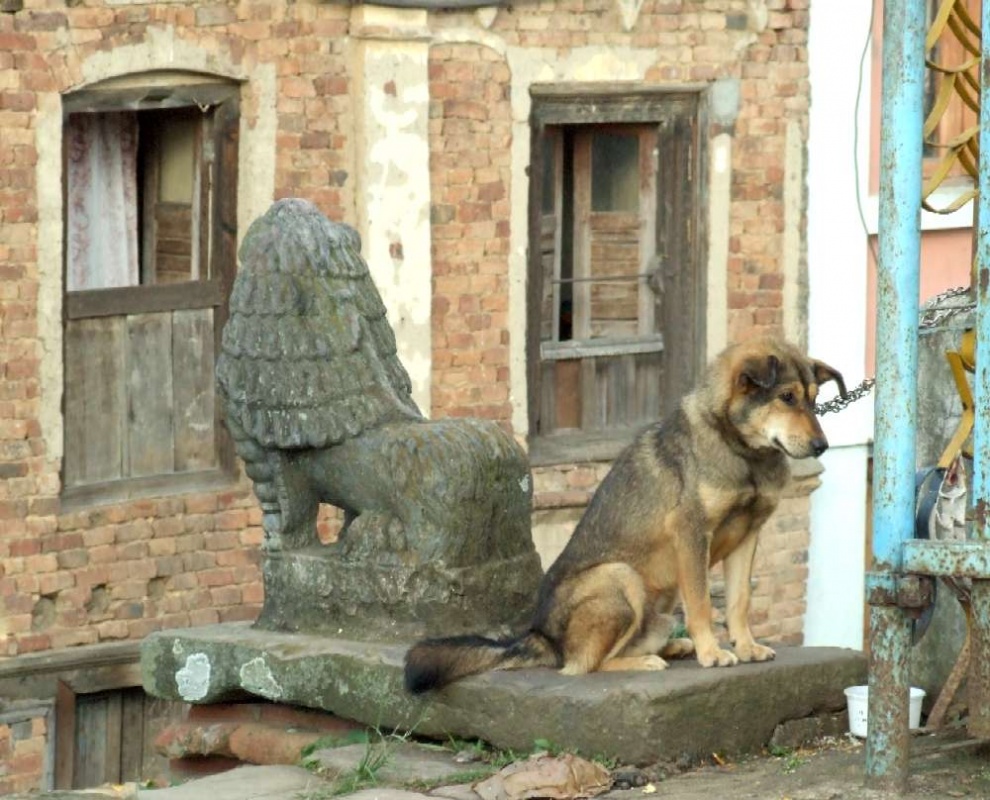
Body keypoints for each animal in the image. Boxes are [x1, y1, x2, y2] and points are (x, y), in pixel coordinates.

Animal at [404, 337, 846, 693]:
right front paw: (712, 652)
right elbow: (703, 602)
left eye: (813, 399)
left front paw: (746, 645)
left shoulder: (748, 534)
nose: (822, 447)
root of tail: (541, 637)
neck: (741, 451)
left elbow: (739, 600)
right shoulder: (692, 533)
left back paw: (672, 646)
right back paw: (648, 659)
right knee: (583, 666)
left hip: (660, 604)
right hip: (620, 577)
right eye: (786, 397)